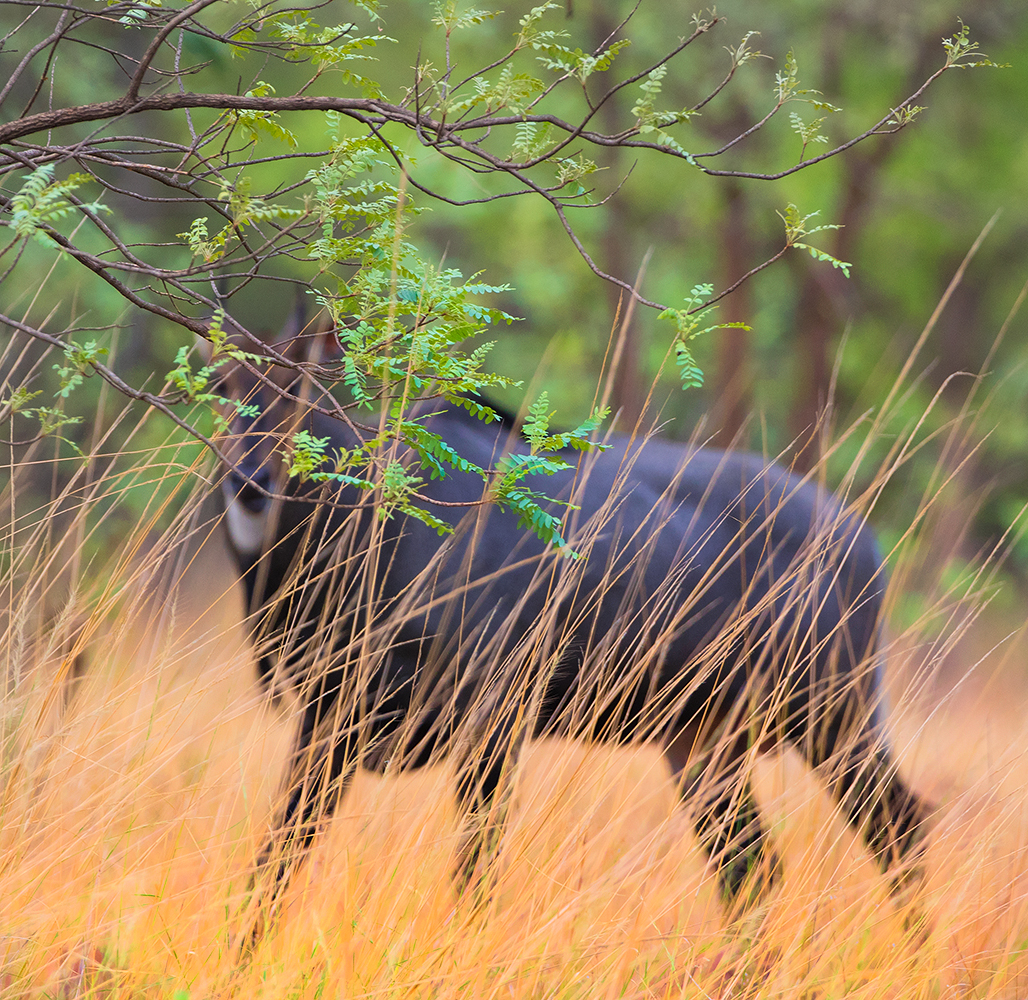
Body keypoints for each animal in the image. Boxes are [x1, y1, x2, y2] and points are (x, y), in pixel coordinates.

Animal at [210, 322, 933, 937]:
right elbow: (276, 860)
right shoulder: (325, 727)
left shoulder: (491, 730)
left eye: (295, 389)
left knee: (901, 832)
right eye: (219, 387)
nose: (252, 479)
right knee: (753, 870)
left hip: (835, 721)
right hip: (704, 744)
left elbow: (476, 876)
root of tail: (862, 540)